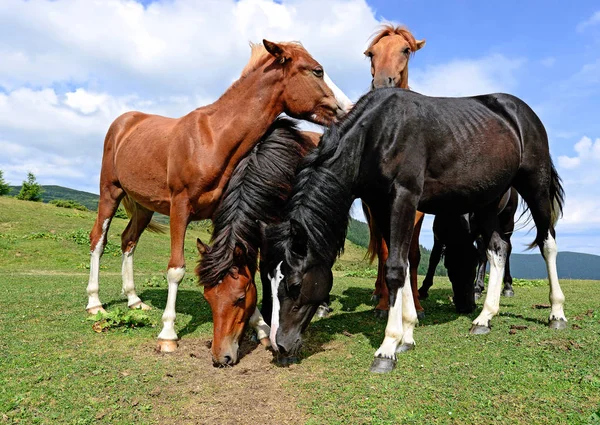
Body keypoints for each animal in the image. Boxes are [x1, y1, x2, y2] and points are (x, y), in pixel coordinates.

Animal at [84, 39, 346, 352]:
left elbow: (240, 265)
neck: (212, 137)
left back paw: (135, 300)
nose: (346, 107)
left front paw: (261, 328)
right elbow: (176, 269)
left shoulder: (220, 211)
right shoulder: (180, 206)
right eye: (317, 71)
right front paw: (168, 333)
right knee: (98, 240)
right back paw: (95, 303)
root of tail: (124, 122)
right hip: (110, 192)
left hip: (144, 206)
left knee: (128, 241)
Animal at [264, 88, 568, 372]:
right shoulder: (382, 206)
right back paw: (484, 318)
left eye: (294, 285)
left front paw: (388, 348)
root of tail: (523, 112)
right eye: (270, 281)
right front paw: (407, 335)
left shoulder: (404, 197)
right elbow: (401, 262)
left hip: (535, 185)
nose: (280, 346)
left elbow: (396, 269)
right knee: (497, 249)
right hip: (488, 201)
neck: (376, 134)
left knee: (547, 243)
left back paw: (556, 313)